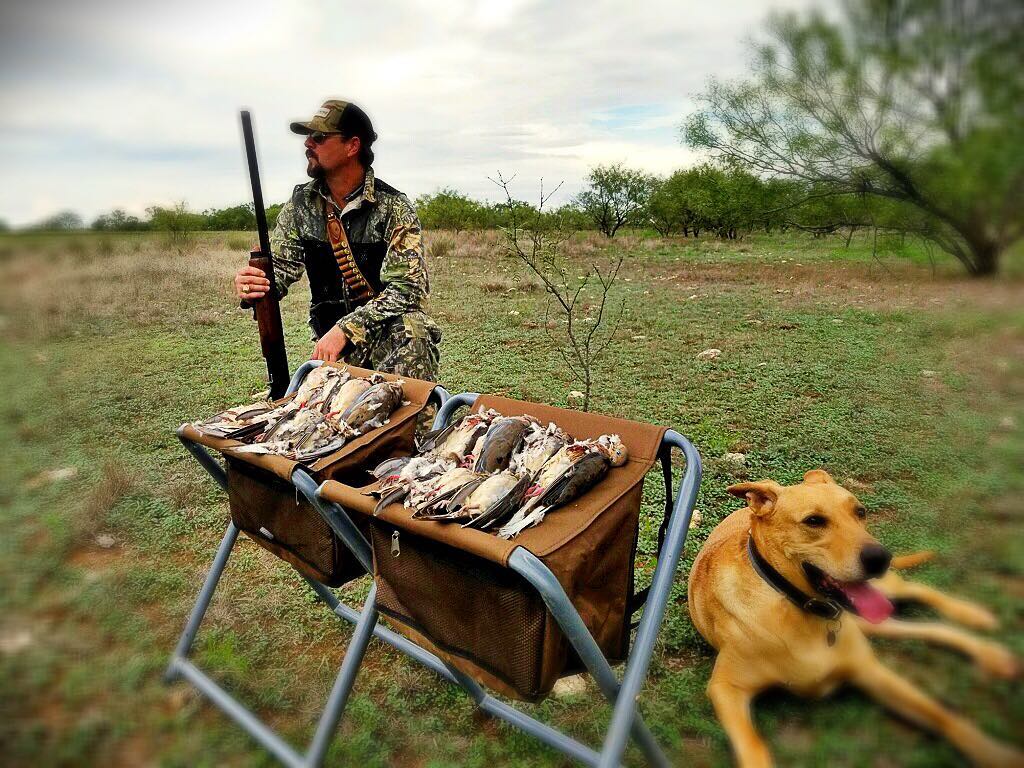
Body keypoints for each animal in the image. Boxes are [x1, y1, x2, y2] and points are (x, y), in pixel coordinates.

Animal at [688, 473, 1024, 765]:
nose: (881, 558)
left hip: (885, 592)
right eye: (814, 521)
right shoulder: (726, 688)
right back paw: (990, 650)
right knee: (928, 626)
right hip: (875, 621)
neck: (798, 606)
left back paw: (976, 619)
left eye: (859, 512)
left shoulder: (870, 671)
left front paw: (995, 754)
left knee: (919, 590)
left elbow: (941, 715)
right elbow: (754, 748)